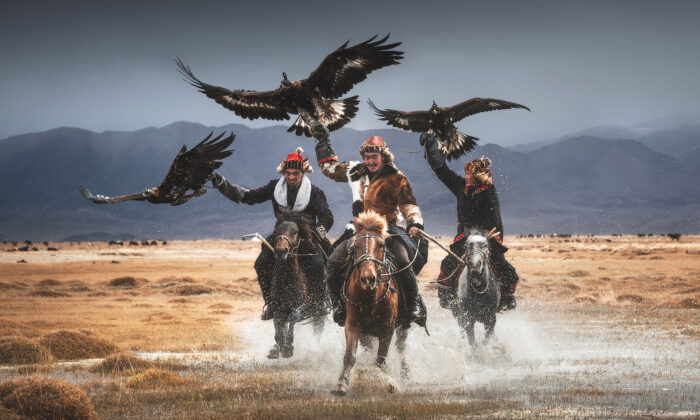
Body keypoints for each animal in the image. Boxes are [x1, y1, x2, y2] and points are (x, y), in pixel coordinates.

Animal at [330, 210, 408, 398]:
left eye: (381, 245)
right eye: (355, 246)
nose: (368, 278)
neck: (370, 298)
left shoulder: (388, 329)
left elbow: (380, 360)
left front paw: (386, 384)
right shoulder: (353, 325)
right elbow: (350, 356)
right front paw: (342, 384)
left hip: (402, 326)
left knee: (401, 347)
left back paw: (405, 374)